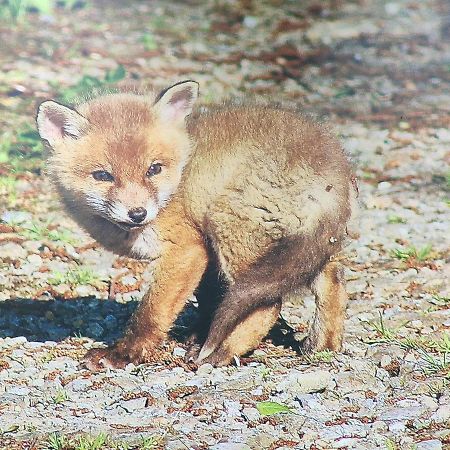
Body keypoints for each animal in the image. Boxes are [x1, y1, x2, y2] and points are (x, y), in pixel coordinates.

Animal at [36, 81, 358, 370]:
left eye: (154, 169)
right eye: (103, 175)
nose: (138, 213)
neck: (180, 176)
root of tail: (331, 165)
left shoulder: (187, 251)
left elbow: (151, 313)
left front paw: (125, 353)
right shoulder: (207, 256)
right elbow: (207, 300)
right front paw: (197, 333)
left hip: (229, 227)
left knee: (268, 304)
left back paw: (224, 352)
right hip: (313, 247)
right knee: (333, 282)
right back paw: (323, 346)